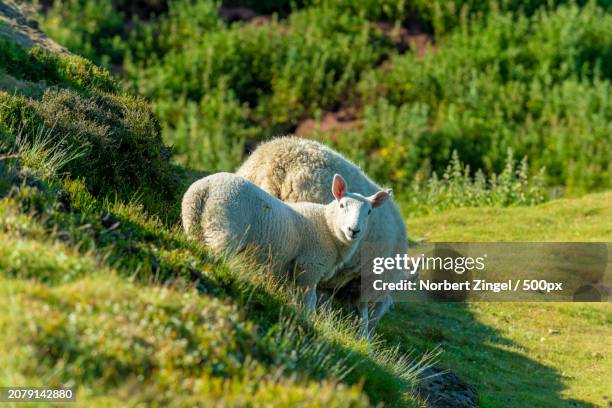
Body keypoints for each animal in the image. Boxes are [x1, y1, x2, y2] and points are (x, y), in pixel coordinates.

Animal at [183, 171, 392, 310]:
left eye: (369, 212)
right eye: (342, 205)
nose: (354, 230)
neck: (327, 226)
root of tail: (206, 188)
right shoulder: (309, 267)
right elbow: (309, 301)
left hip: (195, 224)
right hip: (224, 227)